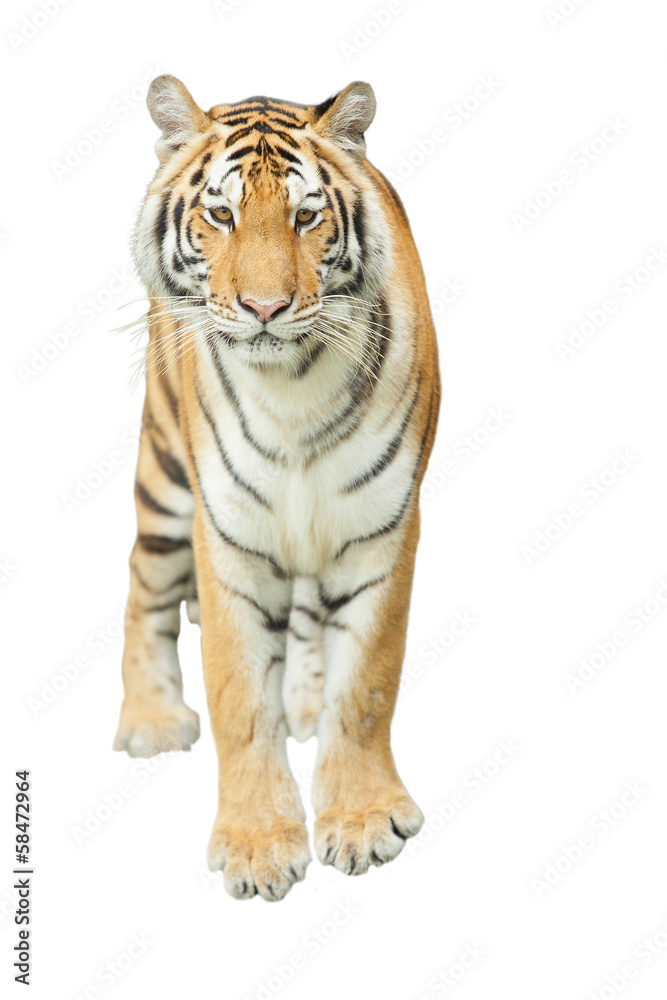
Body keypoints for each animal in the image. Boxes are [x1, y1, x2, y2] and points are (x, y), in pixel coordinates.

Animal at [113, 74, 441, 902]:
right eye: (221, 214)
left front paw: (361, 821)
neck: (292, 385)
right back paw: (151, 720)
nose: (264, 309)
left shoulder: (381, 530)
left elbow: (366, 684)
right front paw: (257, 845)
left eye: (306, 216)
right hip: (165, 479)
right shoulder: (226, 537)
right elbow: (237, 694)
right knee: (142, 584)